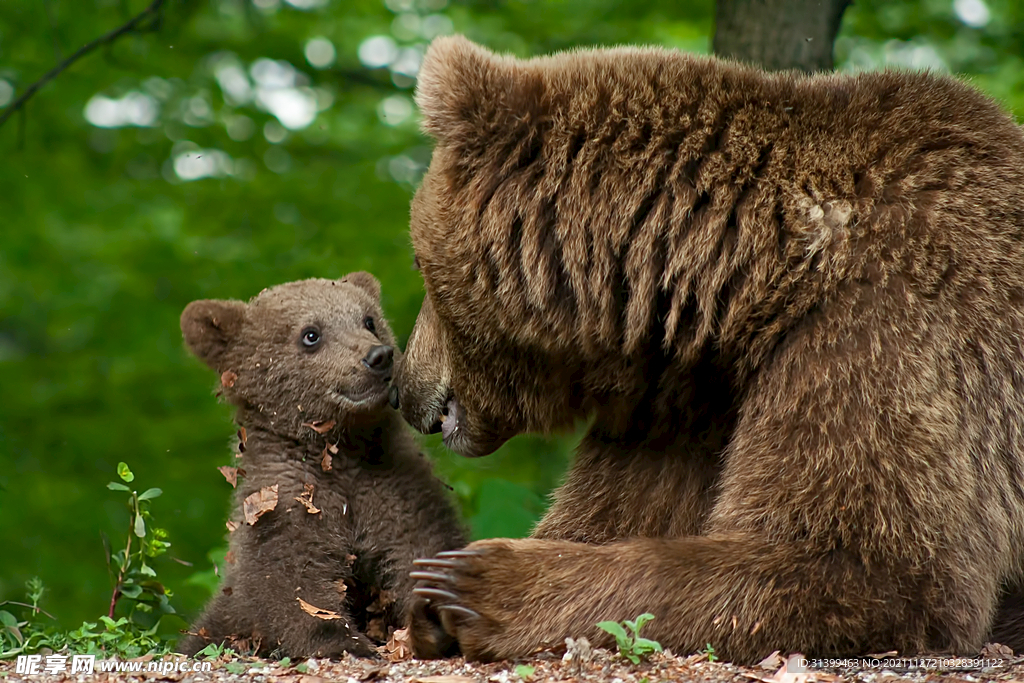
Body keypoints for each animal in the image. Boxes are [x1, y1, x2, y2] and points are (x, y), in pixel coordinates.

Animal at [389, 36, 1024, 663]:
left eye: (418, 264)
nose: (403, 385)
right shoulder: (688, 403)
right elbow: (615, 511)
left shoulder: (886, 327)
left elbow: (874, 566)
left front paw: (471, 585)